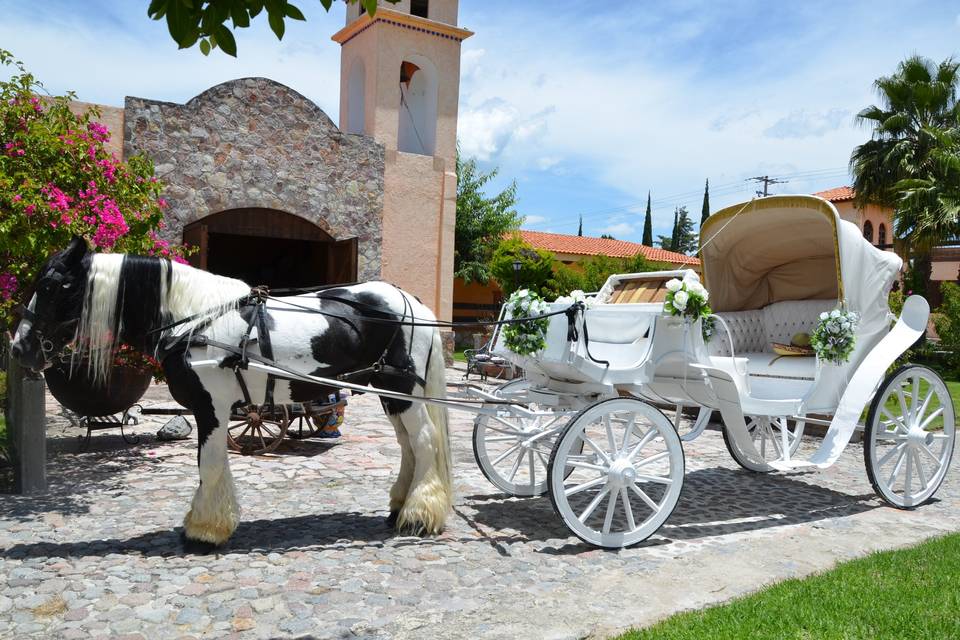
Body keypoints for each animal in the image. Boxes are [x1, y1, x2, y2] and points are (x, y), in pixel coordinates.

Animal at [11, 238, 454, 548]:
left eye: (50, 285)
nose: (19, 347)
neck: (193, 320)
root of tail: (412, 303)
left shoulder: (211, 407)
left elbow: (208, 464)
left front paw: (203, 532)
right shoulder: (214, 410)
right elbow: (210, 463)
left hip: (402, 391)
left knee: (424, 442)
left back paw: (418, 516)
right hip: (390, 393)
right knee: (409, 446)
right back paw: (399, 508)